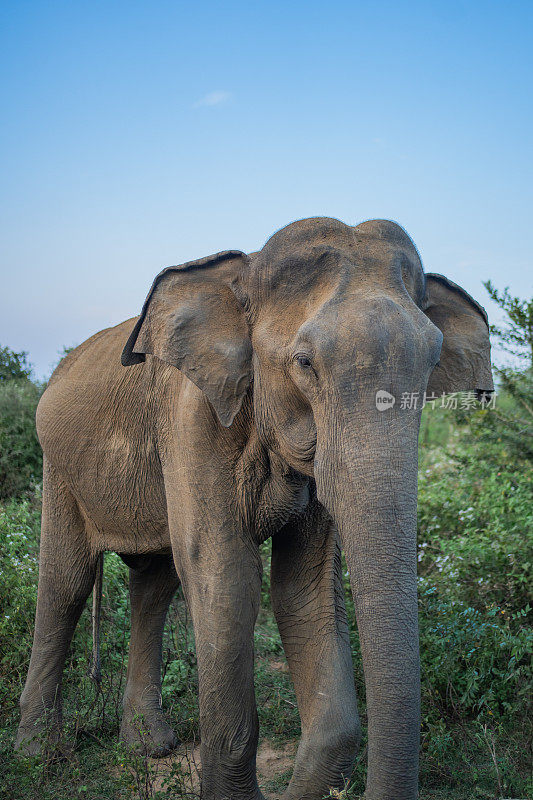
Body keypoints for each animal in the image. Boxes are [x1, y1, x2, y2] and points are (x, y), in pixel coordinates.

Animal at [14, 219, 492, 800]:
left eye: (432, 365)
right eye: (305, 363)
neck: (246, 274)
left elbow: (303, 584)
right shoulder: (191, 419)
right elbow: (227, 575)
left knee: (153, 584)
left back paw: (150, 746)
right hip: (58, 463)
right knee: (66, 582)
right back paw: (40, 753)